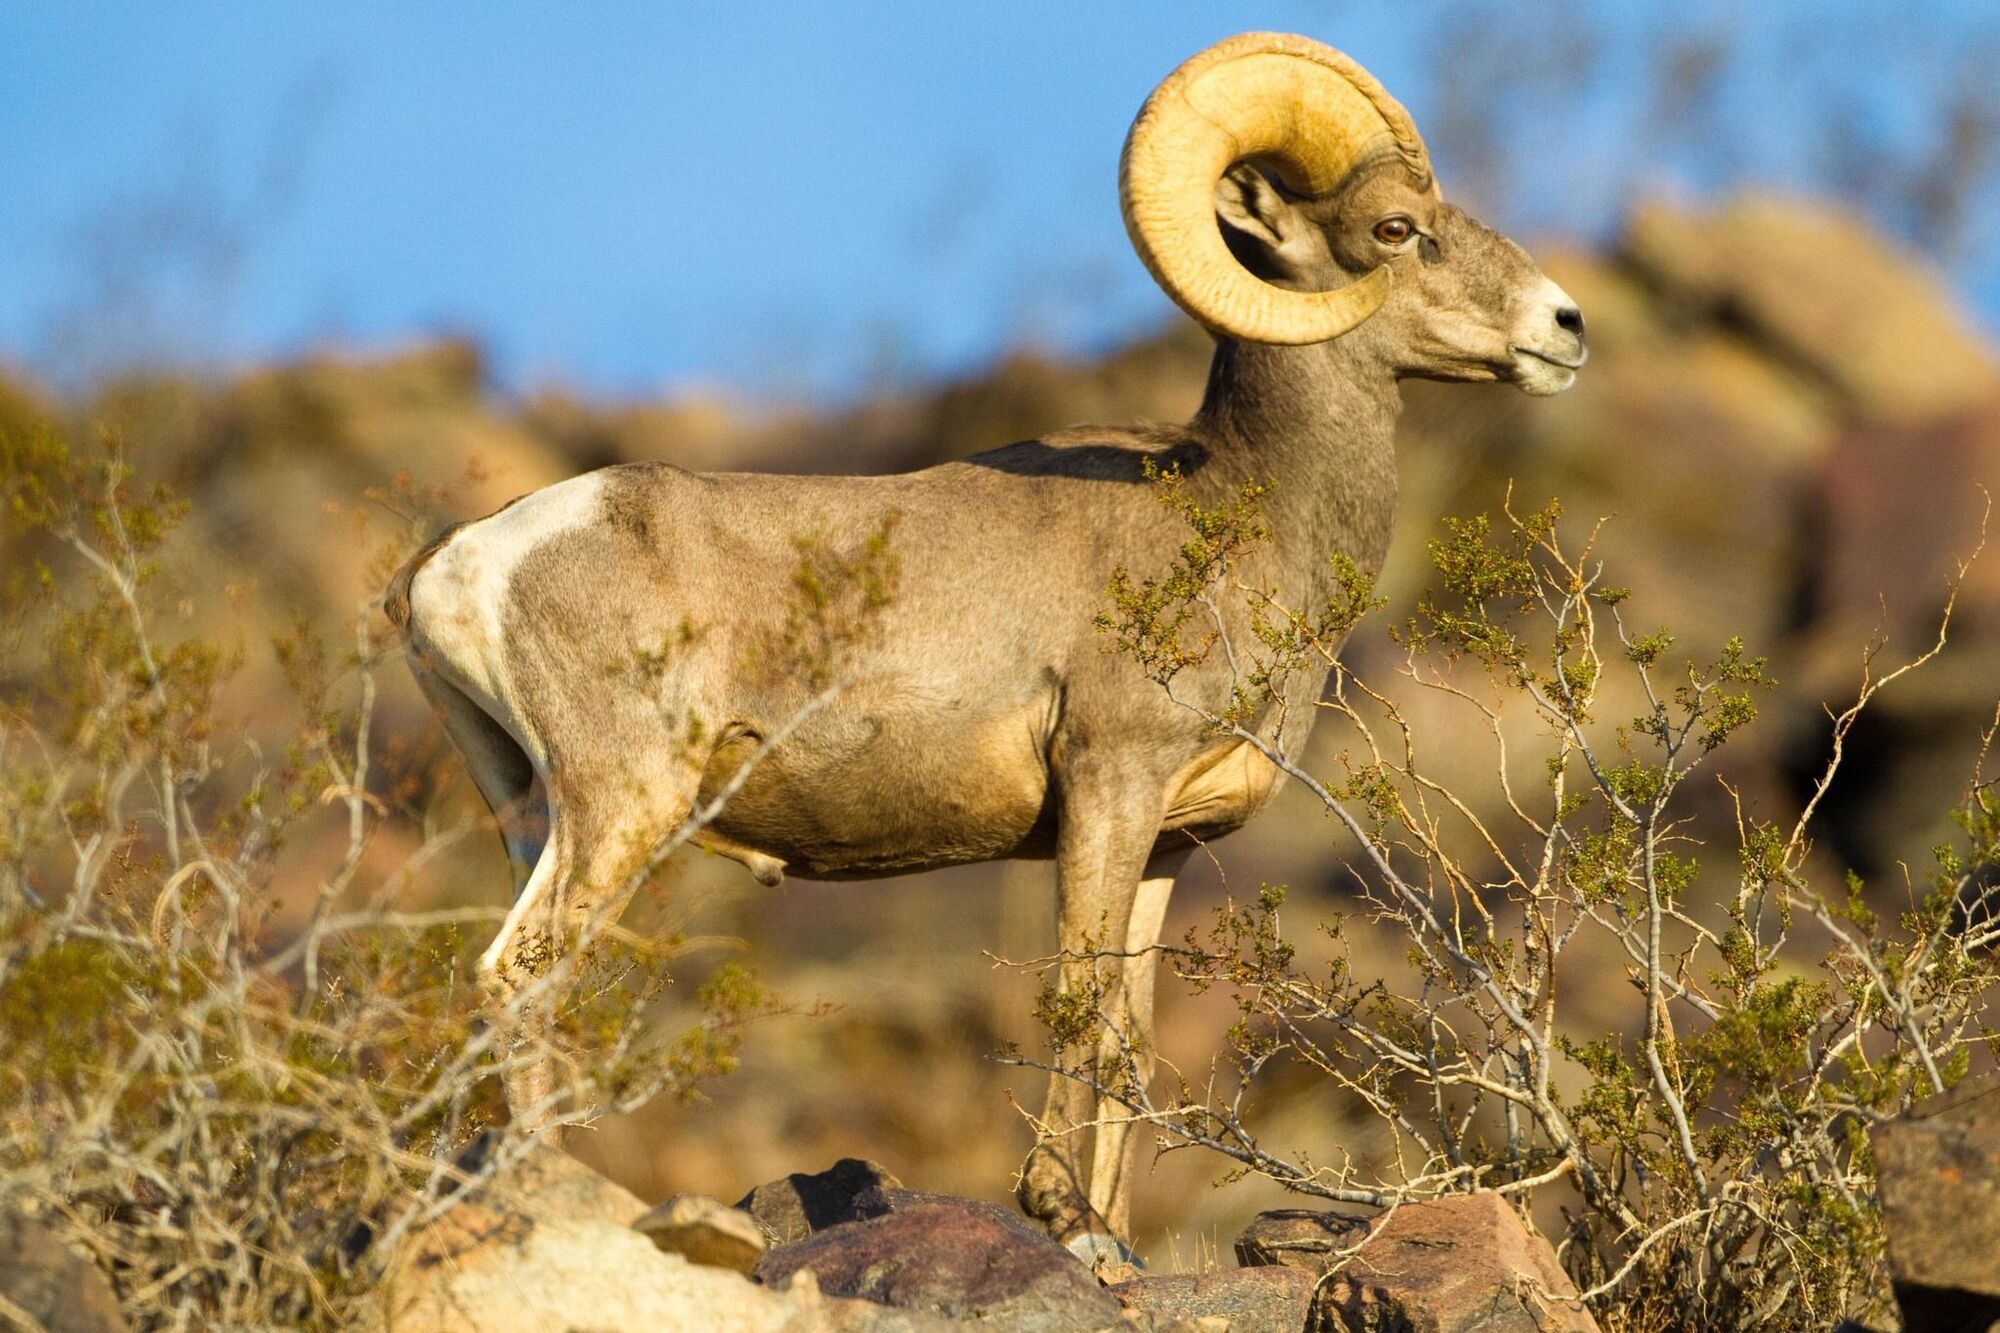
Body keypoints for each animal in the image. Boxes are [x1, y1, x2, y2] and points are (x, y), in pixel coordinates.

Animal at [386, 33, 1576, 1256]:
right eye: (1393, 228)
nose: (1563, 325)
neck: (1239, 507)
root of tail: (457, 567)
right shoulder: (1106, 786)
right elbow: (1078, 1004)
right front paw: (1065, 1220)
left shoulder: (1162, 843)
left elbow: (1129, 1039)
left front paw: (1112, 1241)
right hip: (624, 807)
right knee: (522, 976)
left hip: (534, 819)